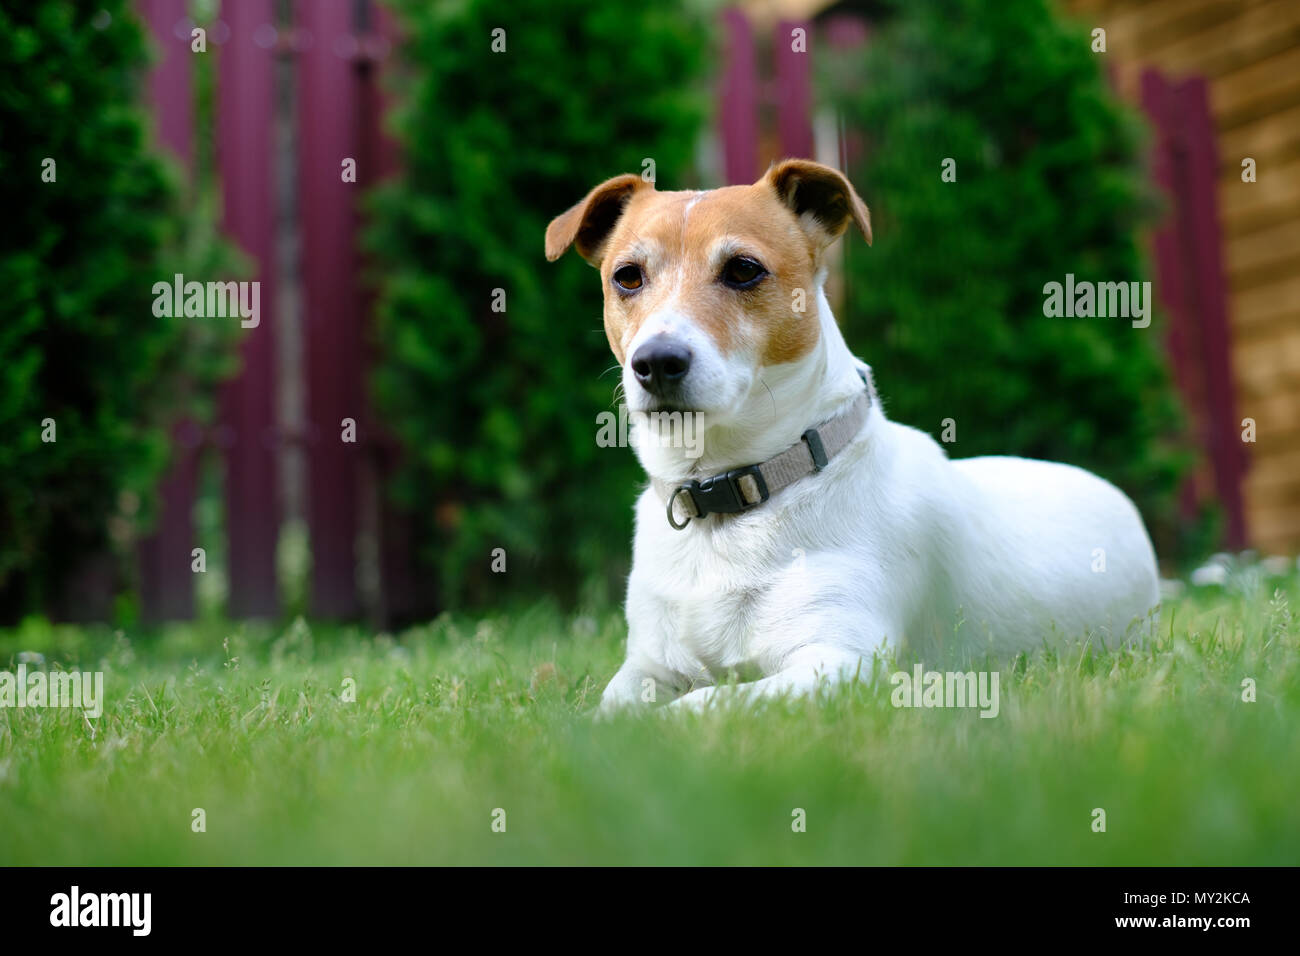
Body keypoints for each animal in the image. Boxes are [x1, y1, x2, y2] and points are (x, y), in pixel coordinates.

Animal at [543, 158, 1164, 712]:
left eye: (743, 269)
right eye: (627, 277)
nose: (655, 362)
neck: (728, 499)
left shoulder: (840, 662)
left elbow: (704, 703)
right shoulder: (648, 667)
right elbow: (607, 709)